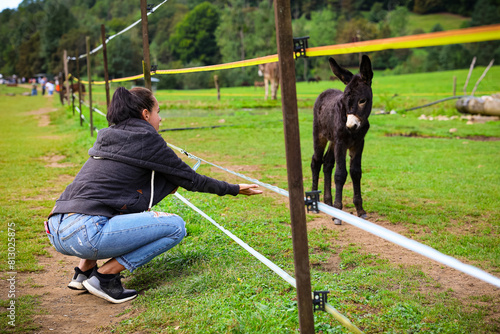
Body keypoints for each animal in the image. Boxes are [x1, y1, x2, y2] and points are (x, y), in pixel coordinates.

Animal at [310, 55, 374, 224]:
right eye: (345, 100)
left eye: (362, 100)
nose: (350, 126)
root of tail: (326, 91)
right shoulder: (341, 142)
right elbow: (340, 174)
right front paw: (338, 213)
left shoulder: (358, 143)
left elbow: (355, 172)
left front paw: (360, 210)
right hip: (320, 135)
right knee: (316, 161)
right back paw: (315, 202)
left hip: (333, 141)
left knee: (327, 163)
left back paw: (328, 202)